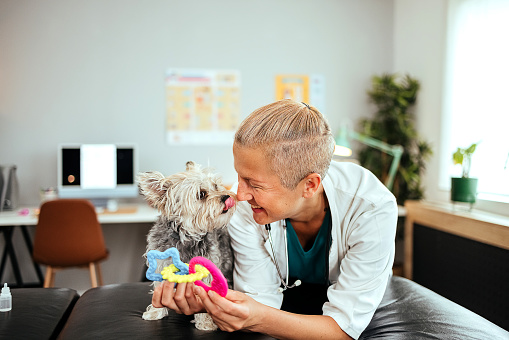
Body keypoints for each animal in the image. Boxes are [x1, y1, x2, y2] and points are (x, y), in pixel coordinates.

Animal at [137, 161, 236, 330]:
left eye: (216, 186)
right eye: (201, 194)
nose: (227, 196)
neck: (186, 236)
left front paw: (205, 322)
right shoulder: (161, 265)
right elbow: (158, 289)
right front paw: (155, 312)